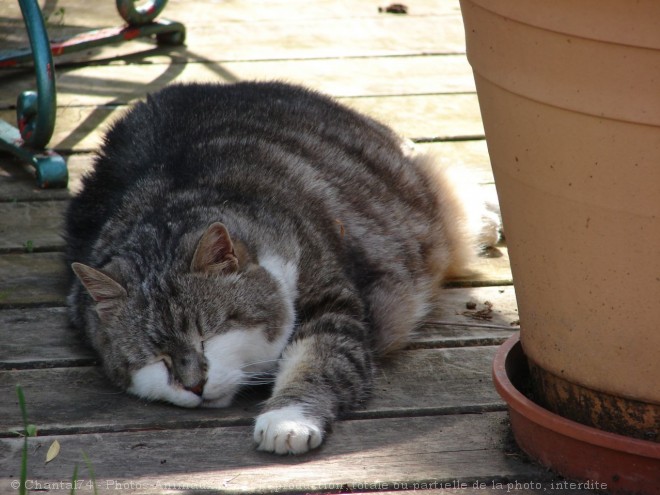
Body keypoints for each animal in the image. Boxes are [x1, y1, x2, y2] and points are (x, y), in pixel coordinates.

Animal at [67, 80, 500, 454]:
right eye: (155, 356)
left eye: (209, 335)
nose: (194, 386)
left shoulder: (330, 298)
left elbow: (319, 359)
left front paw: (287, 419)